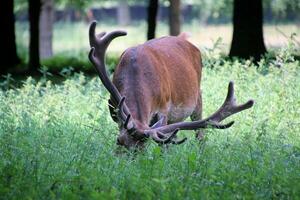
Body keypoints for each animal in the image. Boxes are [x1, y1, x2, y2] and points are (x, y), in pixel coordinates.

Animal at [88, 21, 254, 149]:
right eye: (119, 141)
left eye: (142, 148)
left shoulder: (164, 106)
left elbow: (164, 144)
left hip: (197, 97)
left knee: (199, 134)